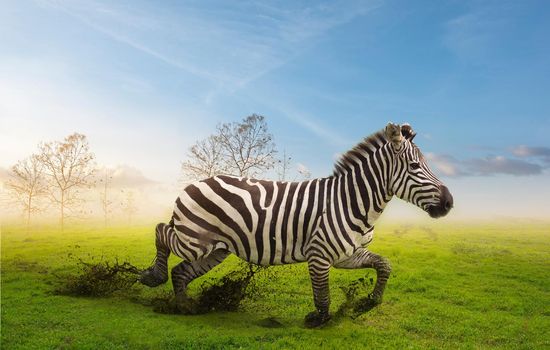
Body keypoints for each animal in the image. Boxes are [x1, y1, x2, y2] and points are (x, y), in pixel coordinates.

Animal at [141, 121, 452, 326]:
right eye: (415, 167)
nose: (449, 202)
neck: (350, 200)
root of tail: (195, 183)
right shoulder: (319, 255)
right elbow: (322, 293)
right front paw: (319, 319)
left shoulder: (347, 255)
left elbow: (384, 265)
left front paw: (368, 302)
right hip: (194, 240)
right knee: (160, 231)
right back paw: (153, 277)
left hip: (215, 249)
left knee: (181, 272)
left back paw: (184, 307)